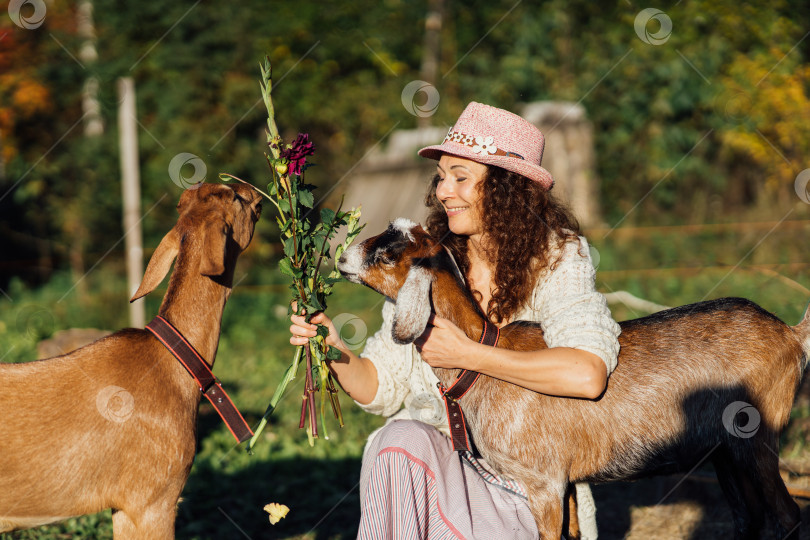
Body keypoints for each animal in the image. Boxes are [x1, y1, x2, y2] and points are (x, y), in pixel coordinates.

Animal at [336, 218, 808, 540]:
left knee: (786, 515)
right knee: (749, 517)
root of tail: (789, 332)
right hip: (723, 451)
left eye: (388, 253)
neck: (483, 363)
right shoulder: (564, 482)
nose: (341, 256)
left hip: (755, 436)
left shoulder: (543, 483)